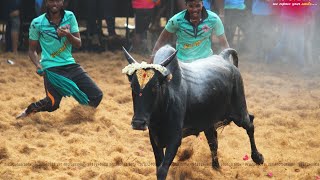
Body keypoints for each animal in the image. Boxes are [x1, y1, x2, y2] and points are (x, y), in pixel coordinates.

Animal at [121, 45, 264, 179]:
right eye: (132, 85)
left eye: (155, 86)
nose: (138, 123)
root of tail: (223, 58)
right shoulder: (154, 138)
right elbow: (159, 168)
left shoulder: (175, 139)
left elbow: (162, 170)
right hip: (208, 122)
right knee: (213, 142)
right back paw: (216, 167)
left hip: (239, 112)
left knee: (250, 123)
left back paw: (258, 157)